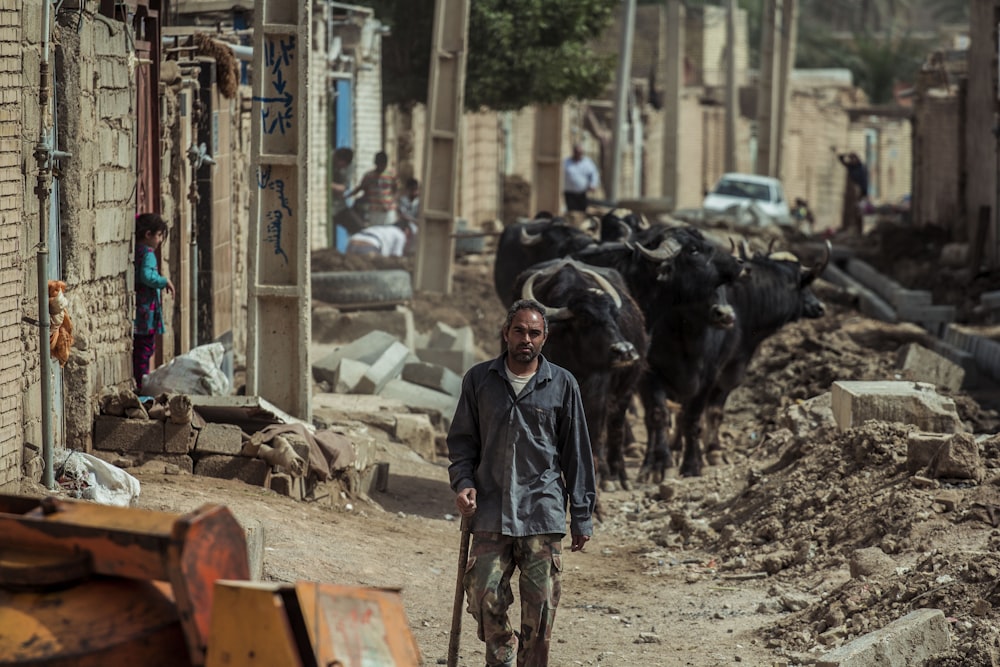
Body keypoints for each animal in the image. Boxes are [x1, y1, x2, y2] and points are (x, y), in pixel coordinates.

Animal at [516, 258, 648, 488]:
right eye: (585, 319)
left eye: (614, 316)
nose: (625, 351)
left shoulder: (599, 393)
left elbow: (595, 433)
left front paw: (601, 476)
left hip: (626, 390)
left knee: (615, 427)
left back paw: (618, 475)